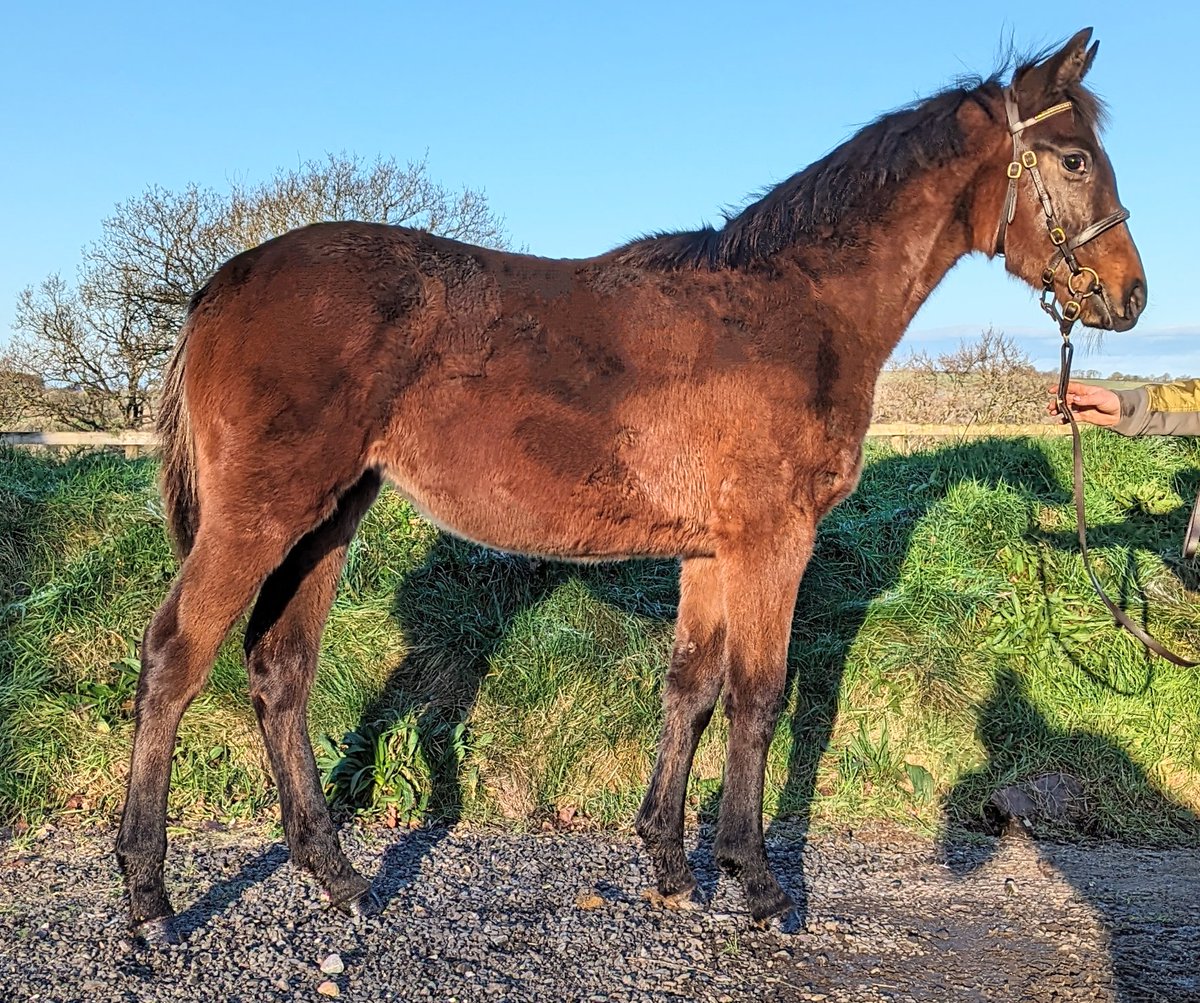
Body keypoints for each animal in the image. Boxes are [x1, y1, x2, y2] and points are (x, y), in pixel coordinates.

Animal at [116, 28, 1145, 941]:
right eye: (1073, 159)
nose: (1128, 296)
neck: (792, 307)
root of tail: (226, 279)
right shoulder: (773, 541)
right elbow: (757, 699)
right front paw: (757, 883)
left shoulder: (710, 553)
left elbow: (689, 689)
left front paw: (668, 864)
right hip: (261, 515)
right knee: (175, 657)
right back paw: (151, 897)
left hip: (328, 519)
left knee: (279, 671)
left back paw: (337, 877)